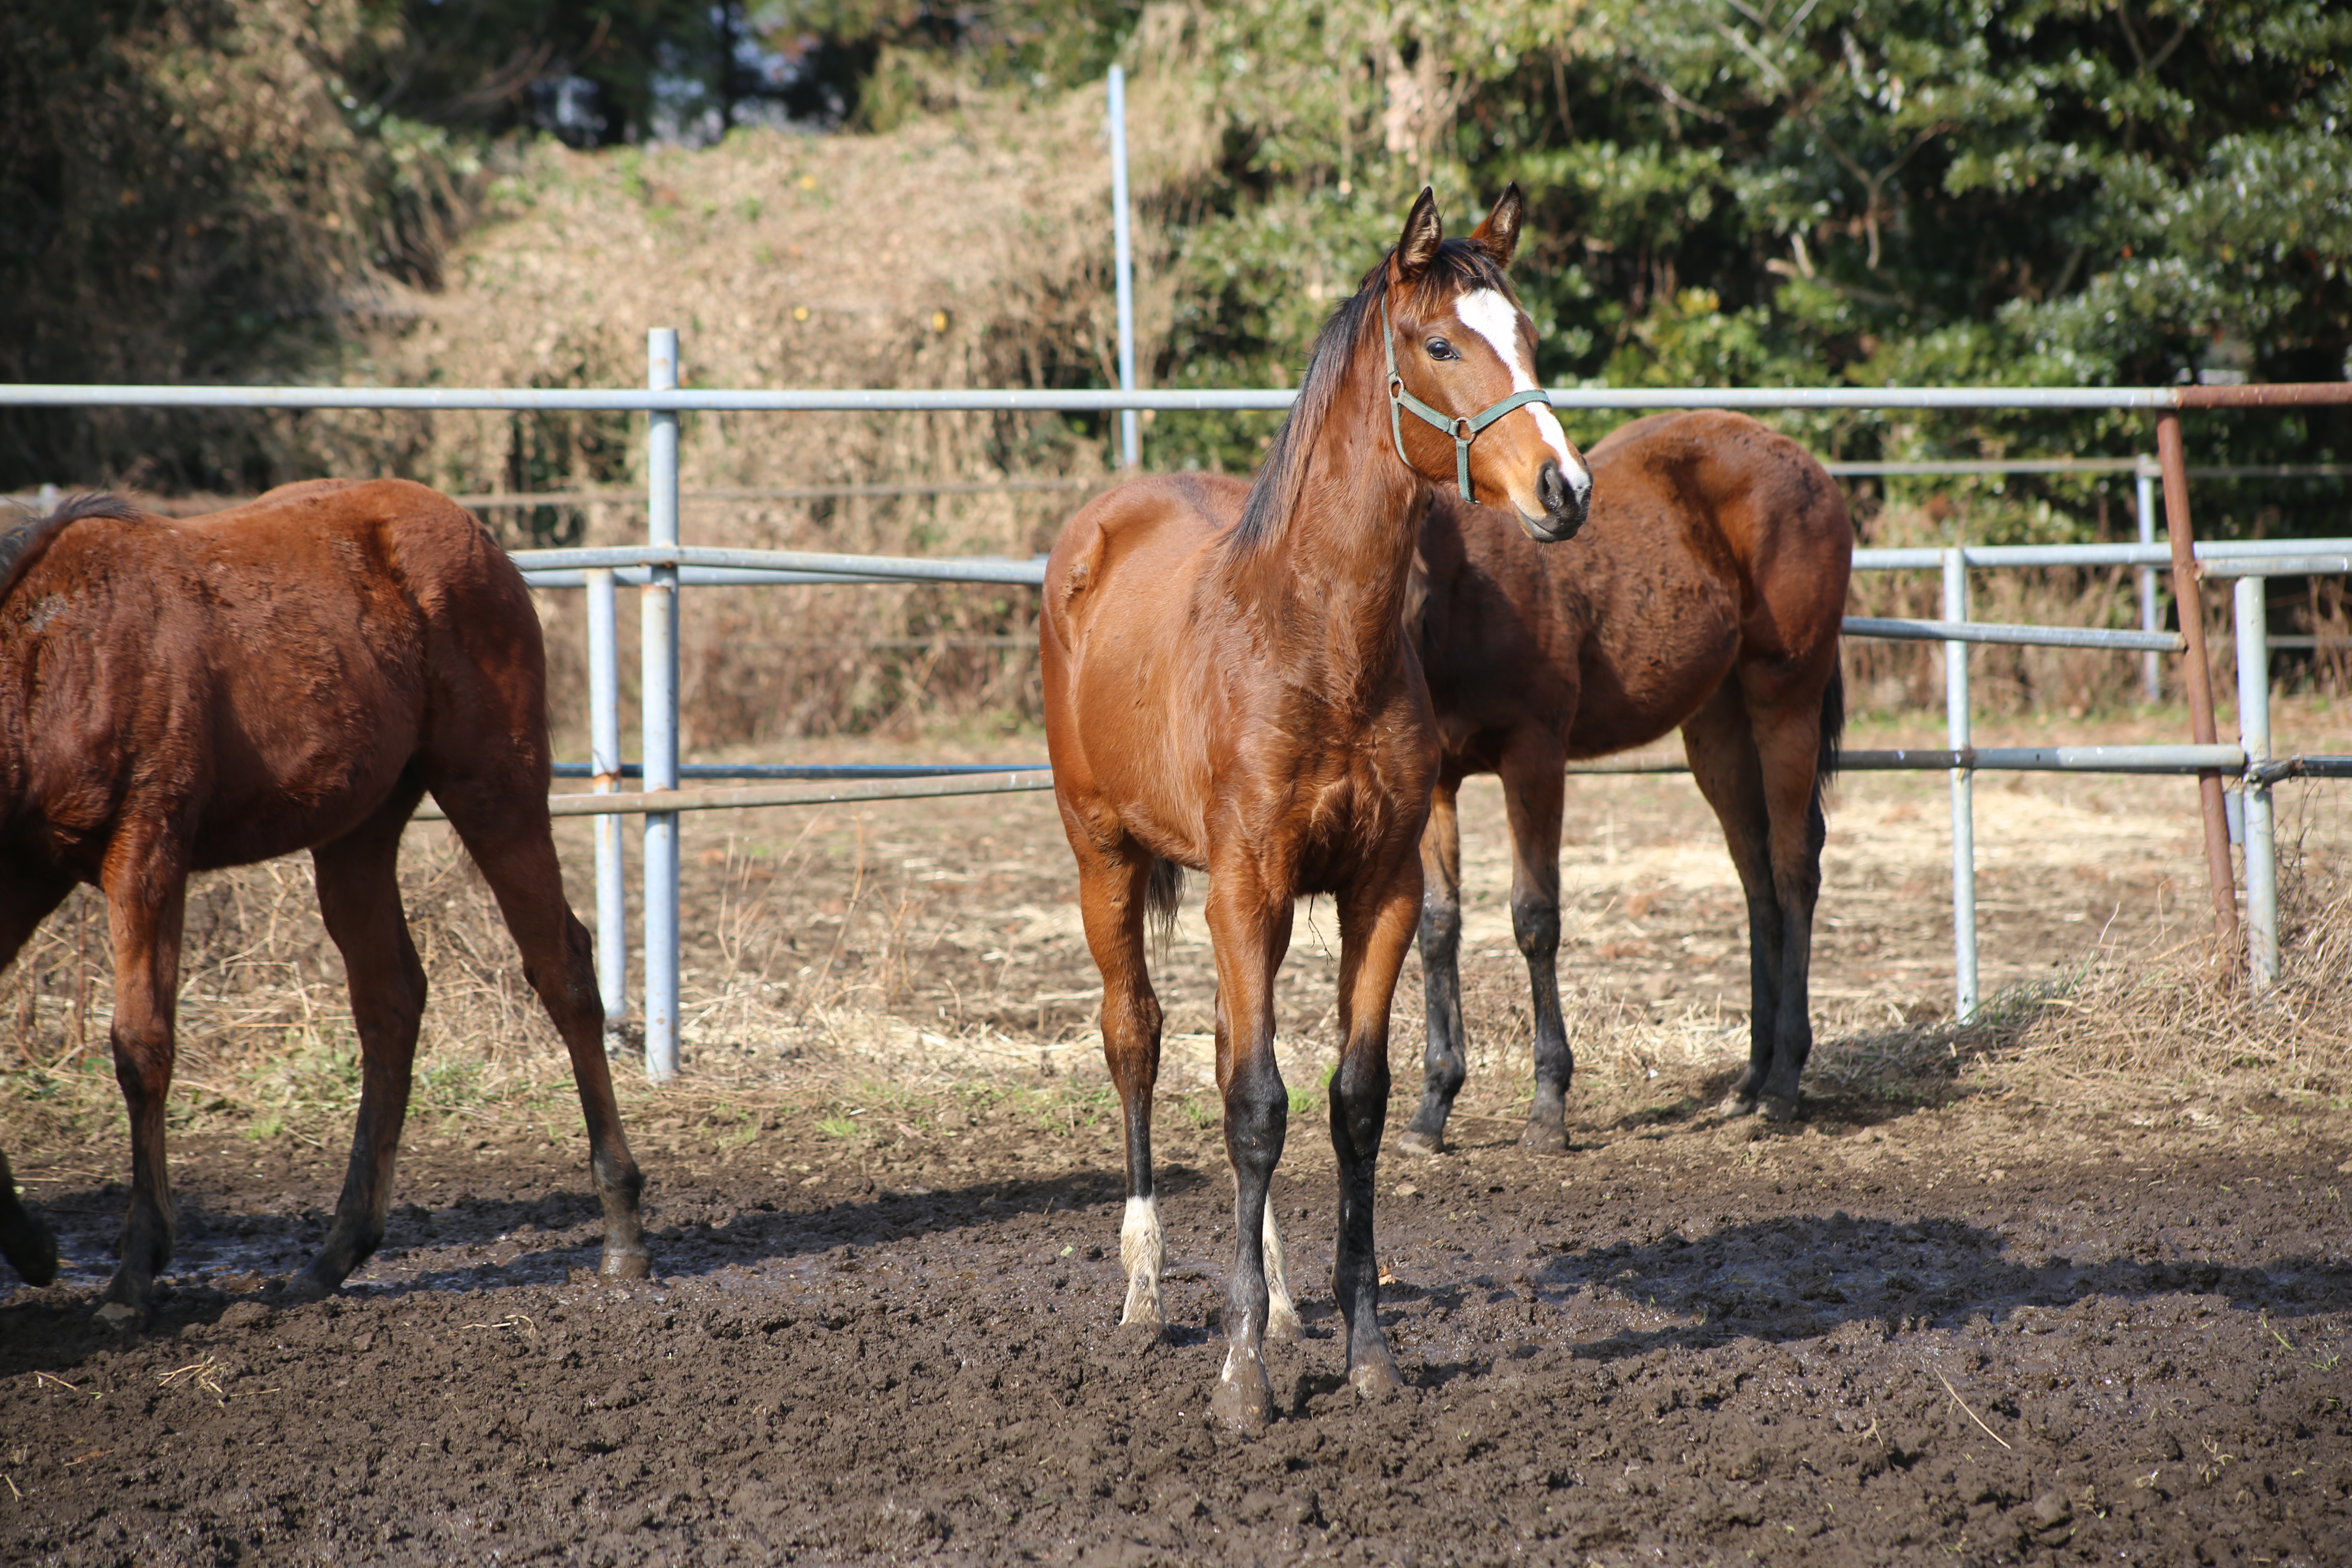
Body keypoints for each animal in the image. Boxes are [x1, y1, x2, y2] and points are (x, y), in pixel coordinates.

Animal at [0, 479, 649, 1326]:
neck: (55, 655)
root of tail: (473, 532)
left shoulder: (147, 849)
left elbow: (142, 1045)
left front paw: (134, 1272)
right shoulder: (22, 871)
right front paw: (32, 1245)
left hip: (494, 788)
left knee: (561, 969)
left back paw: (623, 1231)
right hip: (358, 831)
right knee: (391, 1002)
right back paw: (333, 1255)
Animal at [1039, 187, 1590, 1439]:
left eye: (1529, 334)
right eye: (1440, 345)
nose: (1564, 490)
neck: (1314, 636)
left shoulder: (1374, 888)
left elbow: (1348, 1105)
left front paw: (1362, 1350)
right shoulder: (1247, 884)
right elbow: (1254, 1108)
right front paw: (1241, 1378)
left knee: (1224, 1051)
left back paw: (1284, 1301)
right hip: (1105, 857)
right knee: (1137, 1038)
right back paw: (1146, 1290)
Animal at [1392, 411, 1853, 1161]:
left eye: (1417, 583)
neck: (1471, 593)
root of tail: (1802, 460)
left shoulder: (1536, 758)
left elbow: (1535, 919)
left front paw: (1548, 1107)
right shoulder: (1436, 786)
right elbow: (1438, 926)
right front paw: (1432, 1108)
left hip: (1785, 698)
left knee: (1793, 868)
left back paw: (1783, 1082)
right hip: (1717, 727)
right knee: (1755, 875)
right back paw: (1751, 1079)